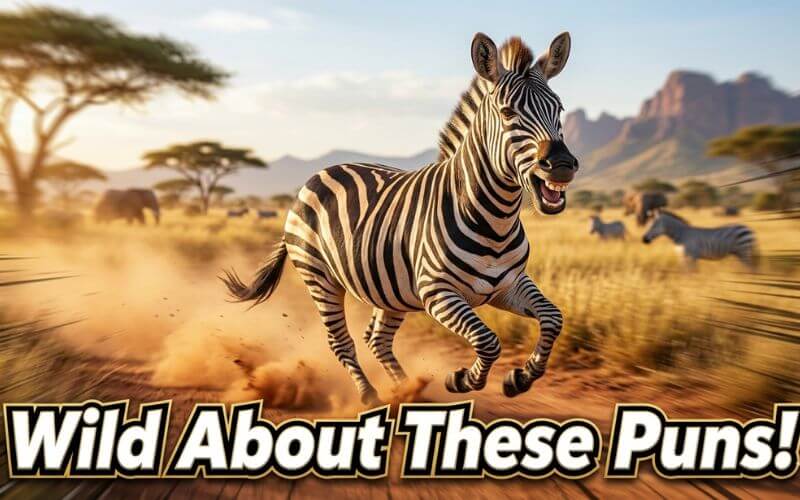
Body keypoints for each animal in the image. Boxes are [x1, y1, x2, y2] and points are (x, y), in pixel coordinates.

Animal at [222, 32, 578, 404]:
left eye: (559, 109)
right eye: (508, 113)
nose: (562, 165)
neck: (495, 221)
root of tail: (318, 175)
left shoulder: (508, 285)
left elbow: (553, 318)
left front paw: (522, 377)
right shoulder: (438, 292)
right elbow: (488, 341)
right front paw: (462, 379)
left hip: (388, 289)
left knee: (377, 338)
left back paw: (409, 392)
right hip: (320, 278)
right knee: (341, 341)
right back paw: (371, 396)